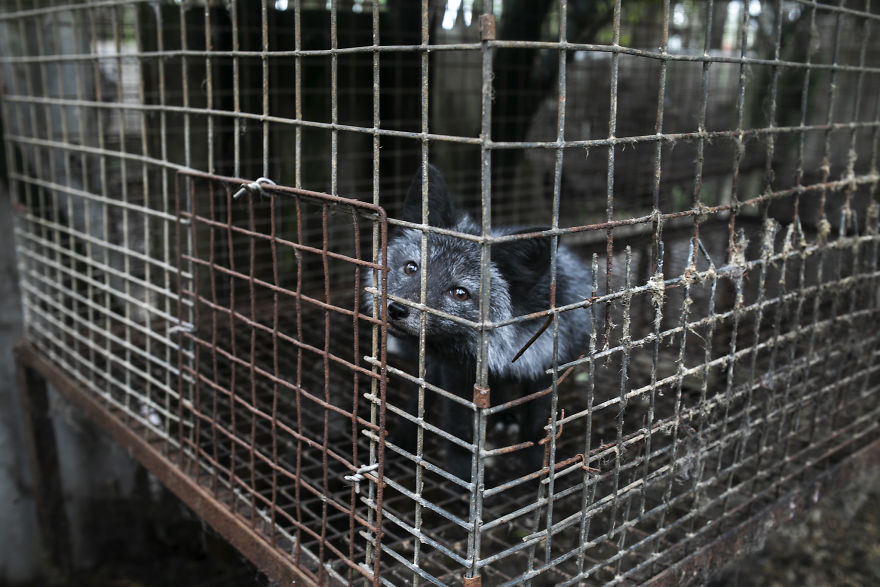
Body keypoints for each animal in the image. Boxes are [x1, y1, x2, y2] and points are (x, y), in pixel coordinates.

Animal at [368, 165, 594, 481]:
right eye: (411, 268)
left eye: (460, 293)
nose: (396, 309)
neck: (505, 346)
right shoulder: (454, 371)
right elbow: (459, 430)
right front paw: (463, 474)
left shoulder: (546, 365)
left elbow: (537, 427)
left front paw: (537, 467)